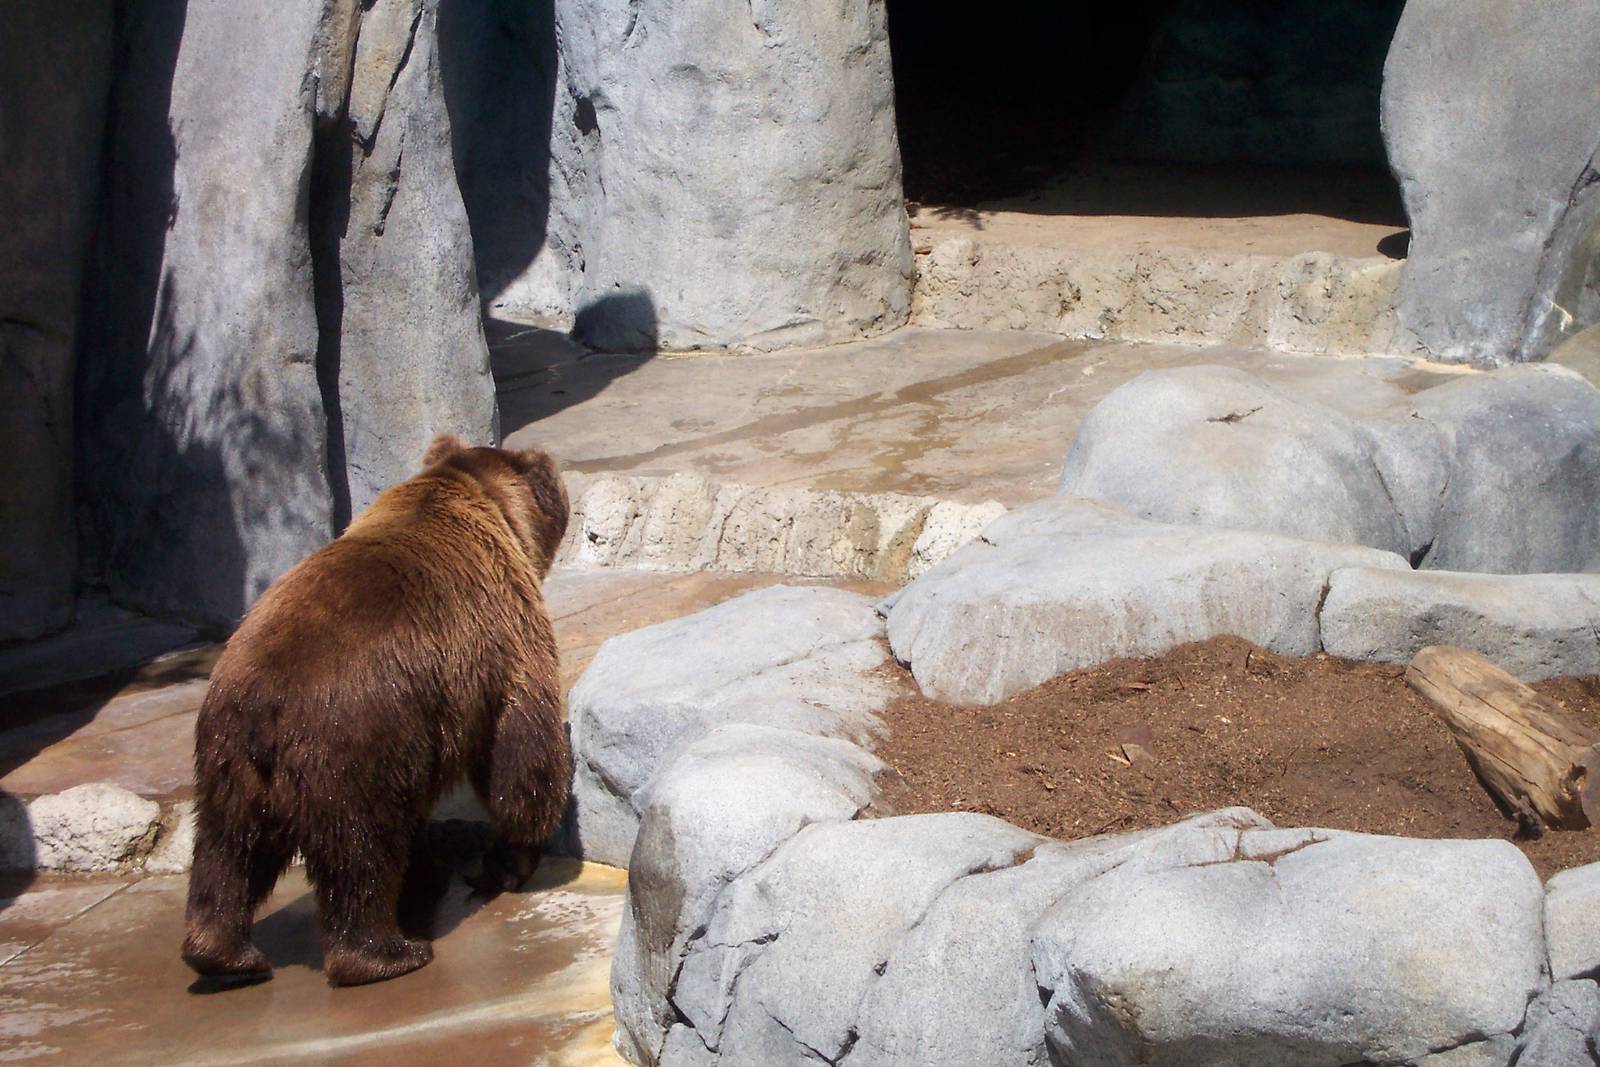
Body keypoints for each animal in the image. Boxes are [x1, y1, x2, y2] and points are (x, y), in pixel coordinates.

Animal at [182, 435, 571, 986]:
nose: (555, 470)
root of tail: (266, 706)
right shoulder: (505, 633)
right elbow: (521, 754)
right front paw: (506, 861)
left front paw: (440, 869)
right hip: (355, 740)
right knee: (361, 850)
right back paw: (388, 954)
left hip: (227, 752)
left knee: (229, 847)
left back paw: (224, 953)